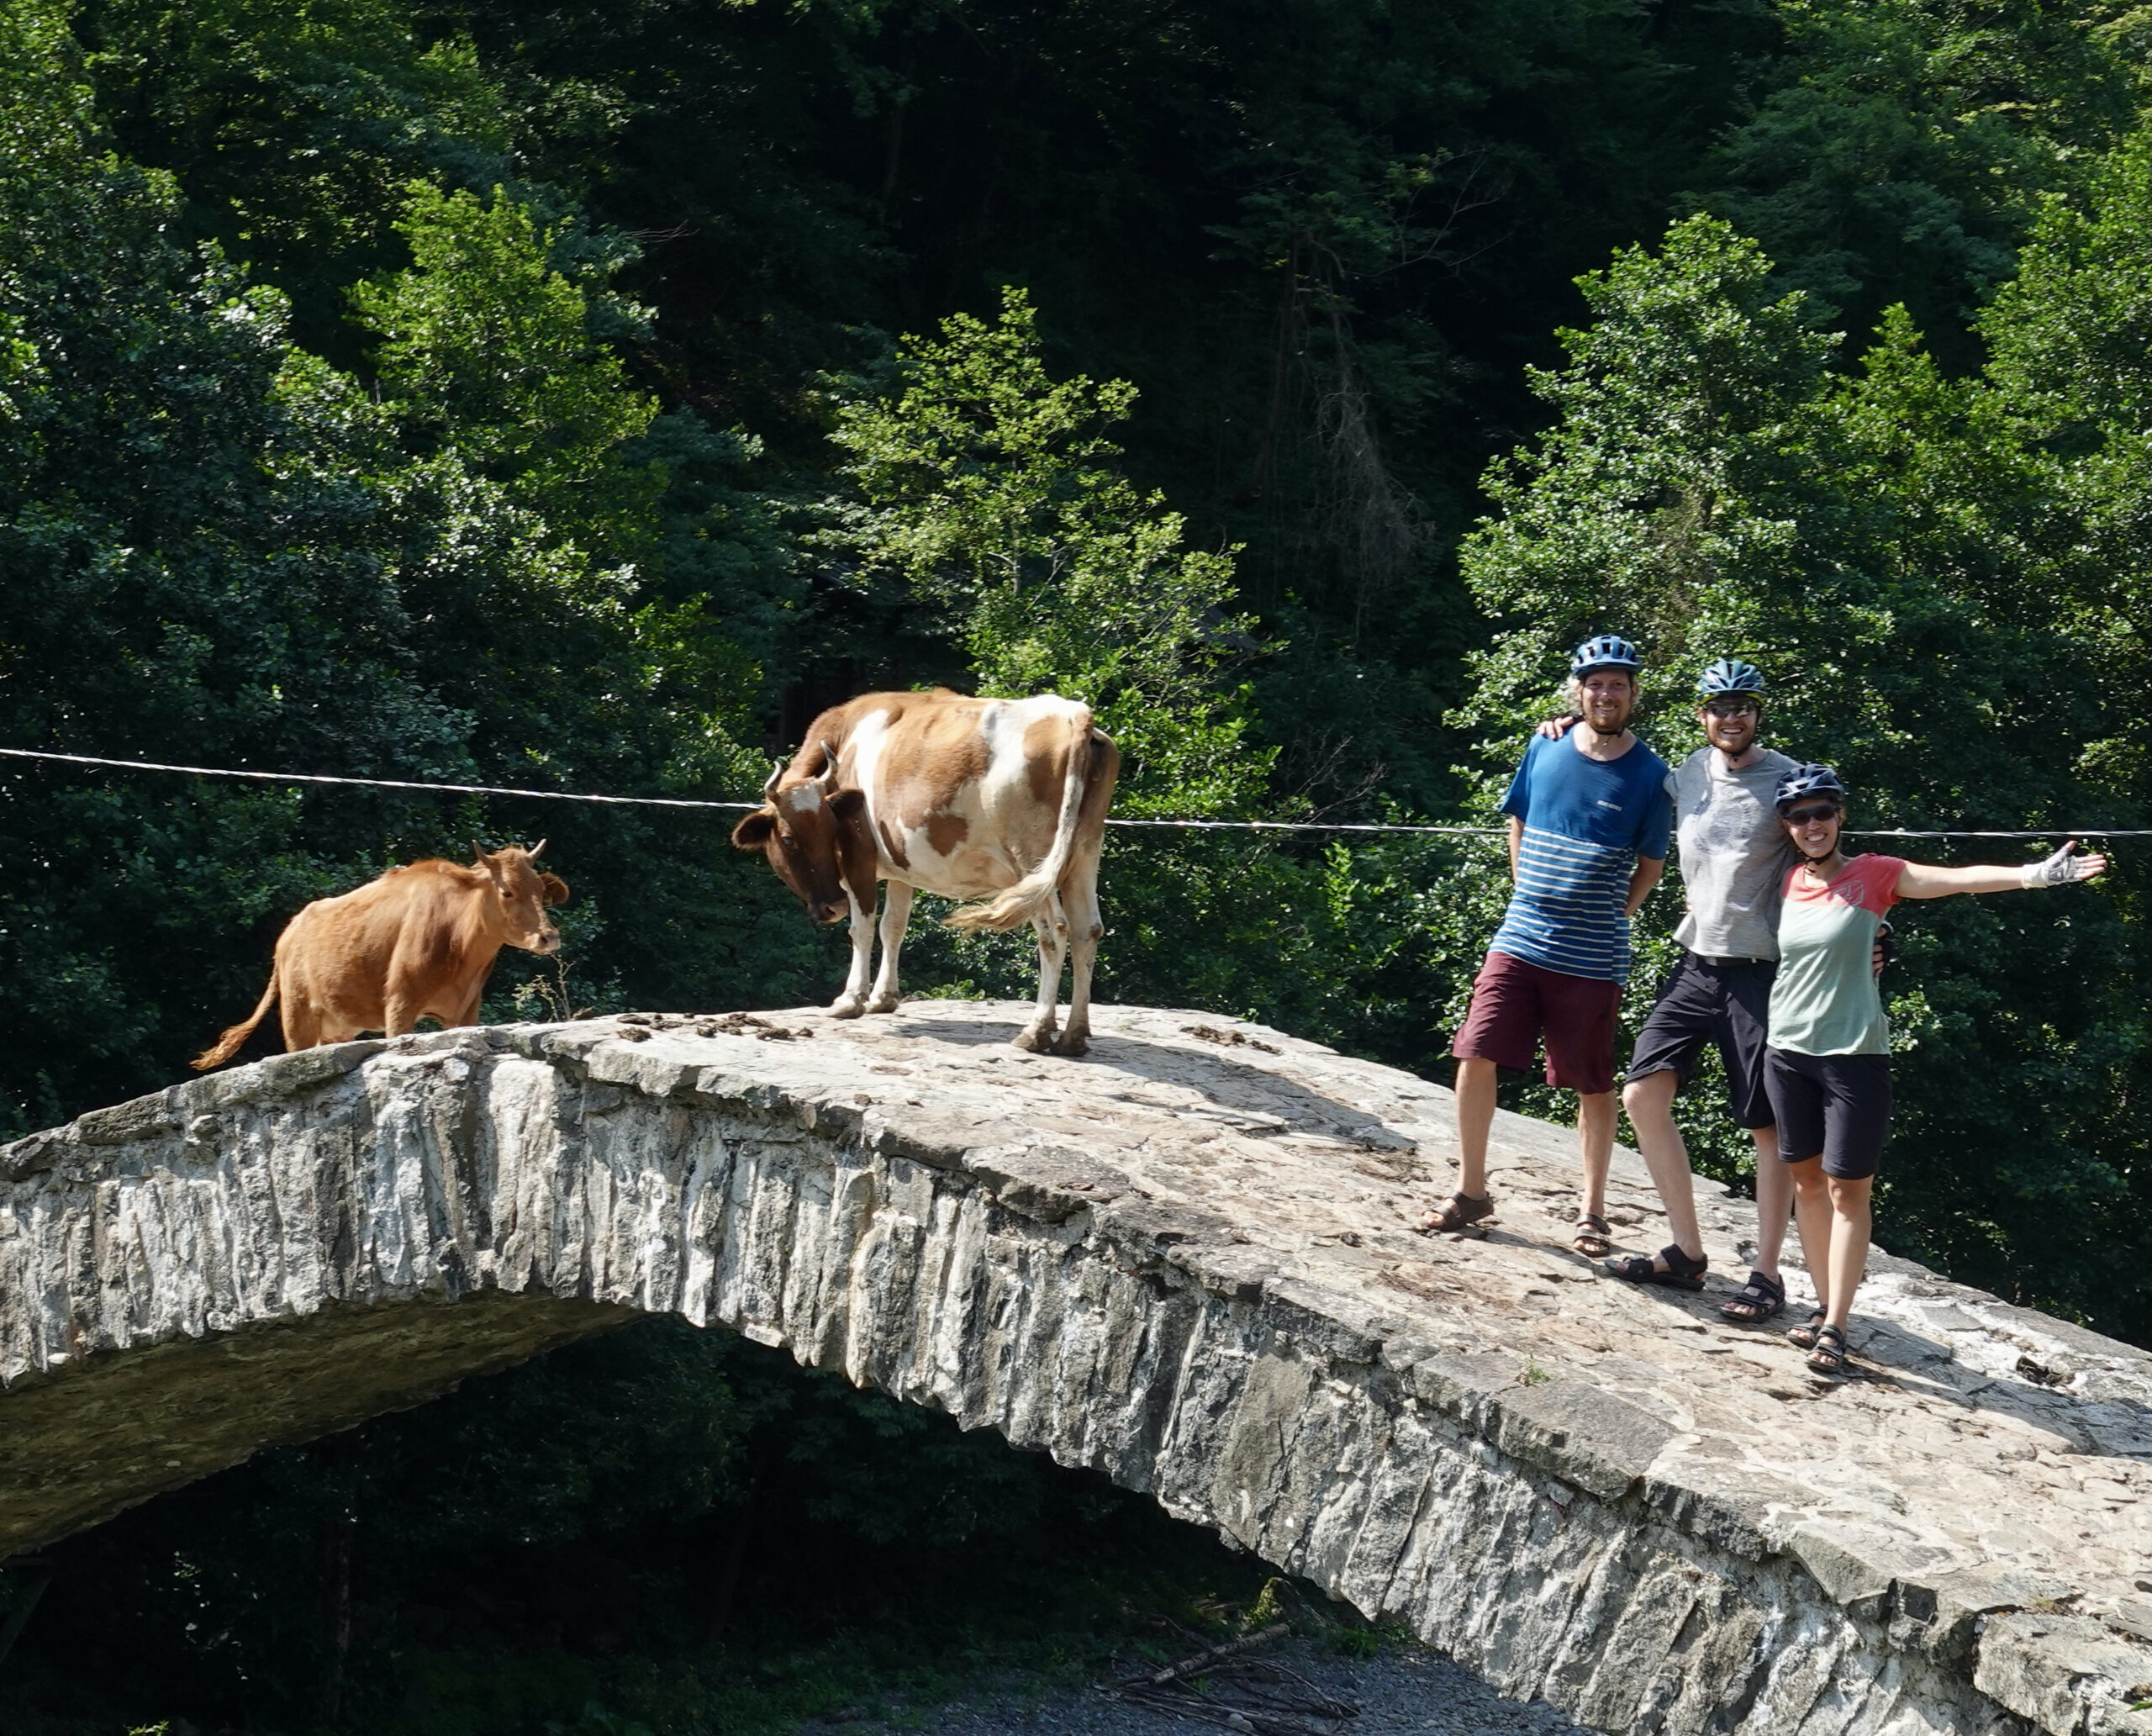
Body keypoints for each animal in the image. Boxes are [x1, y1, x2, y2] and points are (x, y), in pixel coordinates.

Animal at [191, 843, 572, 1071]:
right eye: (507, 891)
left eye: (541, 890)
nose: (548, 936)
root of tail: (289, 932)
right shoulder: (400, 1003)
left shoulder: (465, 1011)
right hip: (297, 1016)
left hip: (336, 1026)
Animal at [731, 683, 1119, 1053]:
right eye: (789, 838)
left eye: (826, 831)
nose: (833, 906)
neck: (845, 737)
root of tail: (1073, 714)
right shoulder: (903, 866)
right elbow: (893, 927)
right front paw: (883, 998)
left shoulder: (859, 852)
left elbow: (863, 928)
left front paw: (850, 1000)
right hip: (1084, 853)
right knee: (1087, 930)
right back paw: (1074, 1036)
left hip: (1031, 859)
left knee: (1054, 931)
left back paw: (1036, 1031)